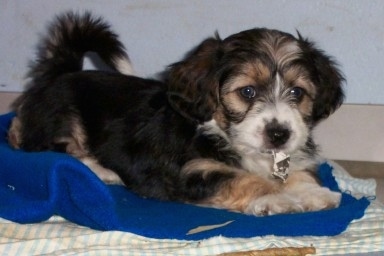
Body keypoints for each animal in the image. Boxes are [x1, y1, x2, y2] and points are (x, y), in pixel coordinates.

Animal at [8, 12, 344, 216]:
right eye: (247, 92)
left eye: (297, 93)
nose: (279, 134)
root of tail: (61, 72)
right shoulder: (193, 170)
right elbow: (239, 178)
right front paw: (275, 197)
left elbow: (297, 171)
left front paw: (314, 192)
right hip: (61, 118)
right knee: (40, 145)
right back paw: (101, 170)